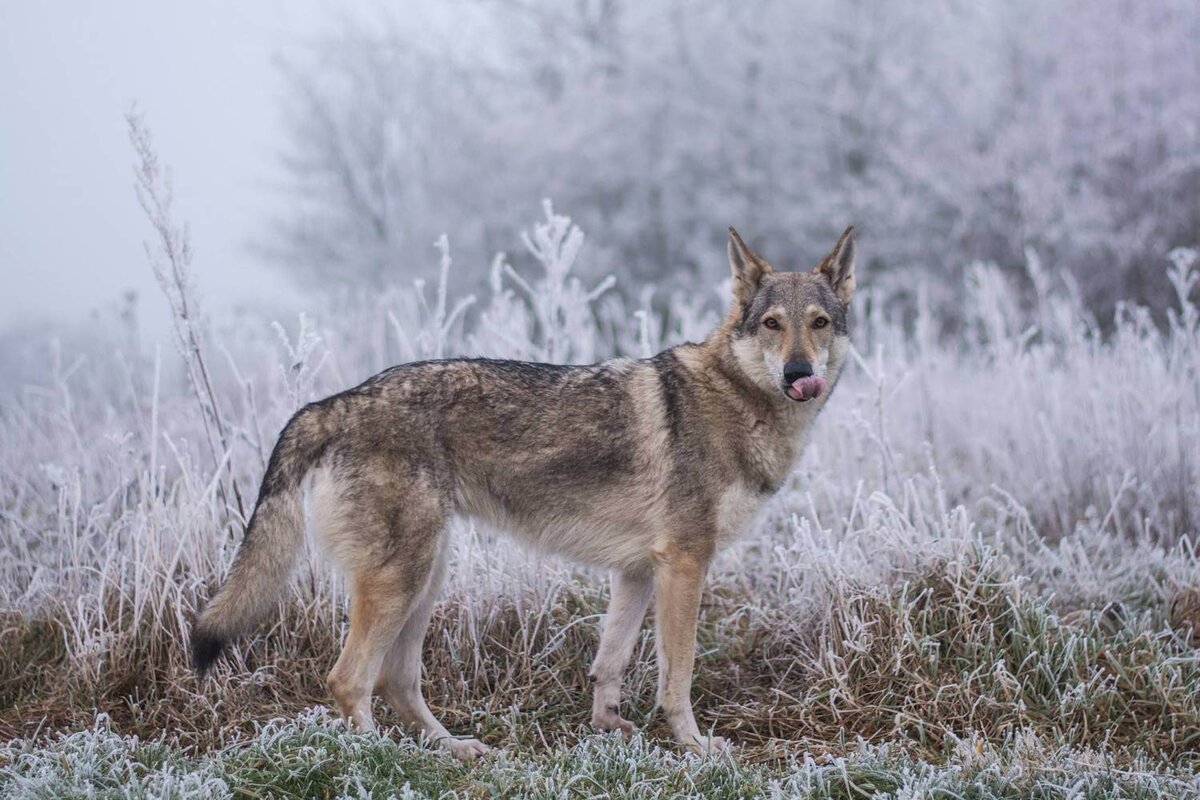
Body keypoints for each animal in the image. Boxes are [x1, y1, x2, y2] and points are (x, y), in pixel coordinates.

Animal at [192, 225, 859, 758]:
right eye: (772, 325)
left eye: (819, 324)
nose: (800, 374)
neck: (737, 401)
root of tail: (334, 402)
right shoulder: (685, 564)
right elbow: (678, 675)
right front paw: (696, 747)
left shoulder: (640, 571)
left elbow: (609, 662)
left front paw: (609, 730)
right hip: (402, 580)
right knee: (348, 680)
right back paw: (380, 759)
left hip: (426, 577)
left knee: (396, 682)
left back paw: (454, 750)